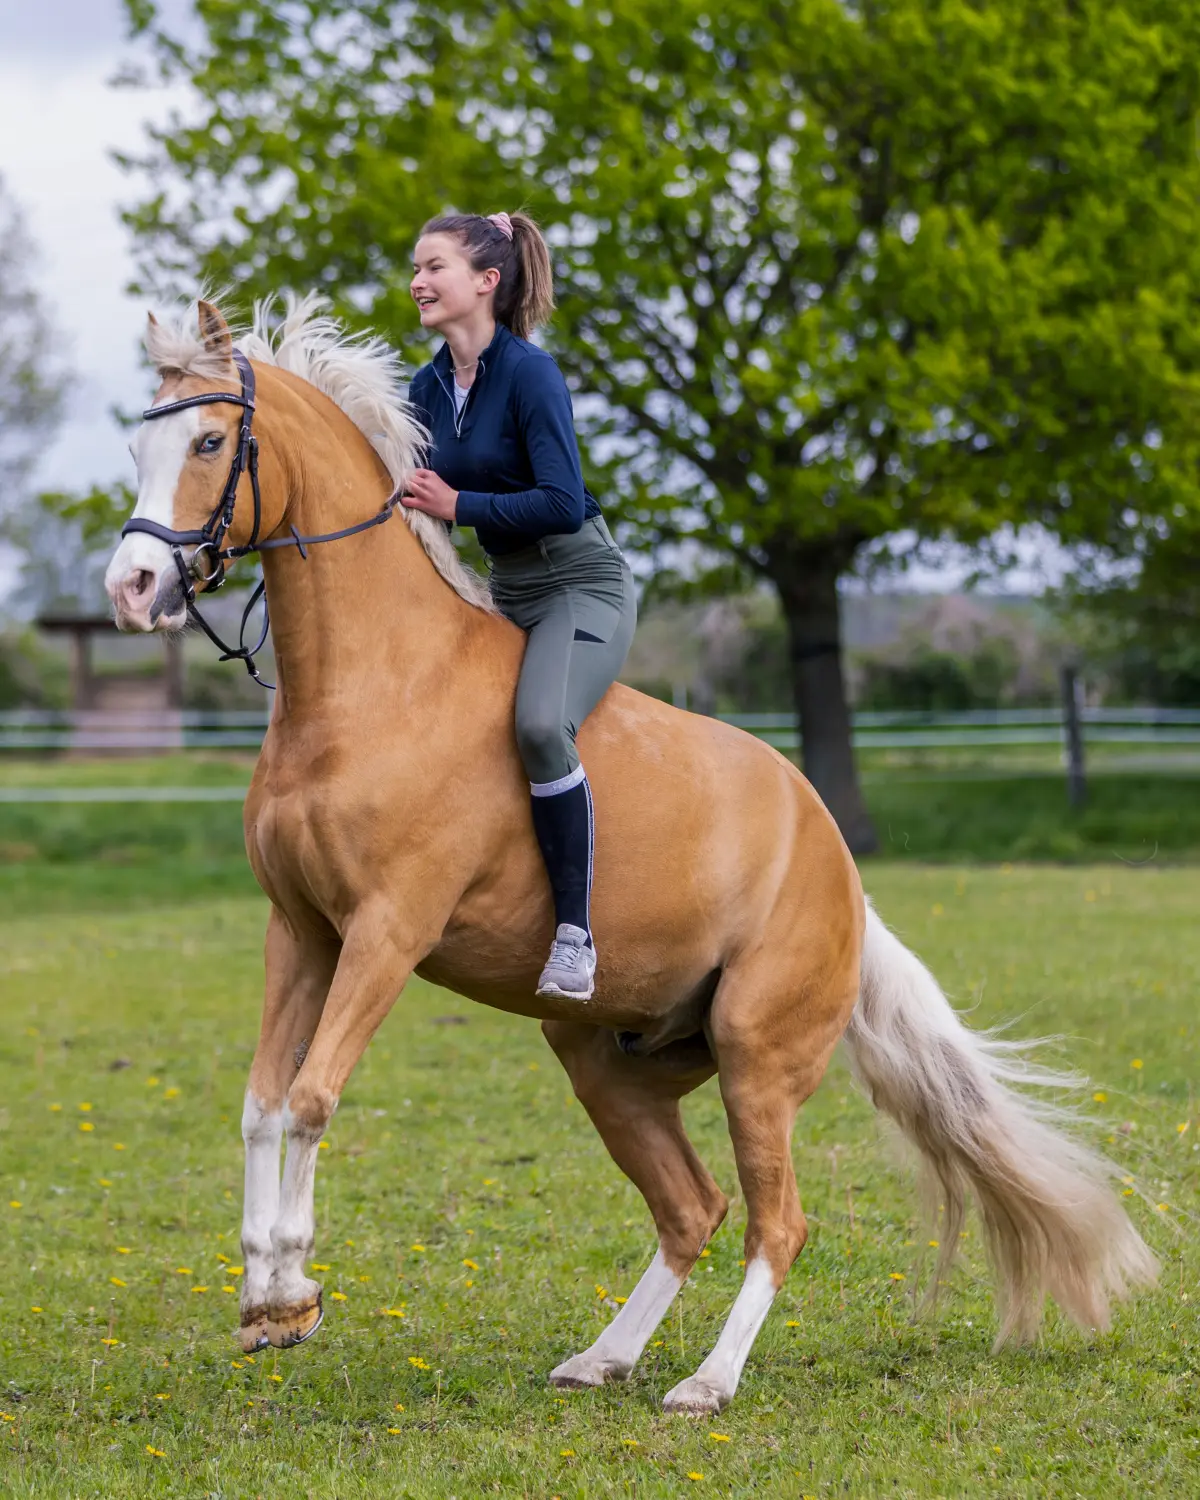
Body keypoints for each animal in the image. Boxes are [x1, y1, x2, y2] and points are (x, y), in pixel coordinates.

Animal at [103, 296, 1156, 1416]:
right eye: (138, 445)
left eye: (211, 442)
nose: (132, 585)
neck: (370, 686)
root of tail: (840, 869)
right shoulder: (300, 930)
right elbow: (261, 1106)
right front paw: (261, 1298)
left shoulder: (388, 931)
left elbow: (310, 1098)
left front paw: (293, 1292)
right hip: (607, 1063)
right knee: (693, 1208)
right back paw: (603, 1357)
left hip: (755, 1057)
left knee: (778, 1221)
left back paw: (706, 1383)